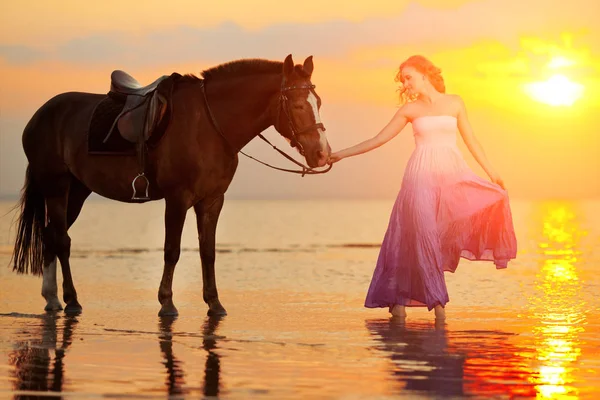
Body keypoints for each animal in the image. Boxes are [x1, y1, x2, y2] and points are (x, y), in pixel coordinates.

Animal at [9, 54, 330, 316]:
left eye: (318, 103)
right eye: (298, 105)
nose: (321, 154)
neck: (209, 125)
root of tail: (40, 115)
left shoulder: (212, 200)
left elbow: (208, 251)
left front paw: (214, 303)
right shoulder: (177, 199)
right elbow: (172, 250)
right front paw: (167, 302)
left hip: (77, 191)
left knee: (51, 235)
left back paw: (52, 298)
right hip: (56, 187)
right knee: (62, 240)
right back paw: (71, 299)